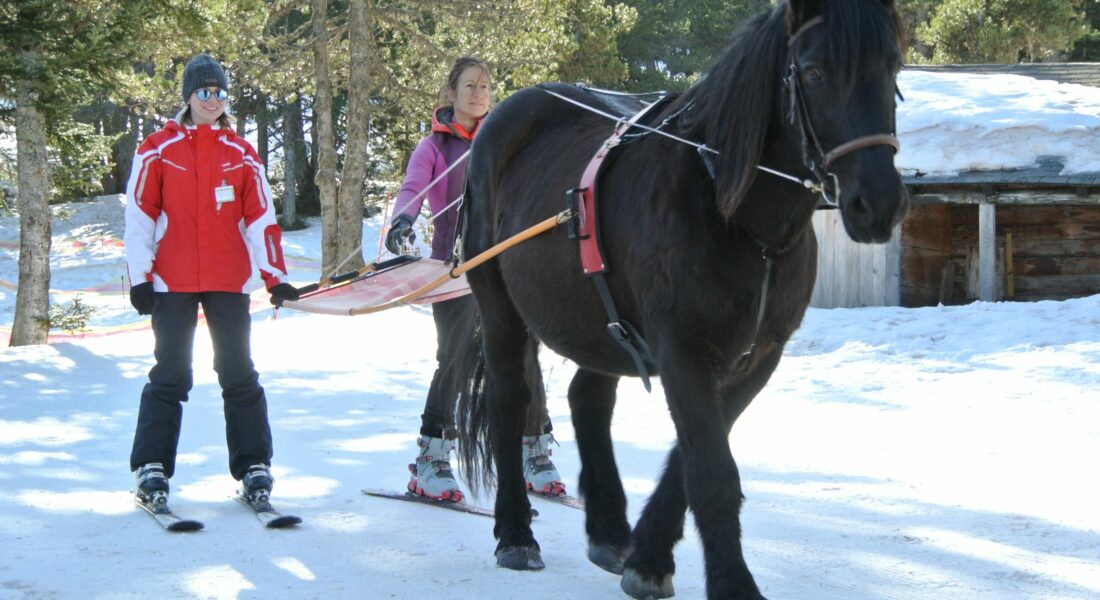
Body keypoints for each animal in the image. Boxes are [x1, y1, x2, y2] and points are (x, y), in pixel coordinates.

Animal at [451, 1, 906, 598]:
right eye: (812, 72)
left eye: (893, 67)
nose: (877, 204)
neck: (732, 212)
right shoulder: (683, 350)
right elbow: (711, 470)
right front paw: (733, 583)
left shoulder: (756, 357)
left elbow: (691, 462)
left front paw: (648, 556)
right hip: (502, 310)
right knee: (510, 404)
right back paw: (515, 534)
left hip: (599, 319)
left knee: (587, 398)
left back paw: (609, 528)